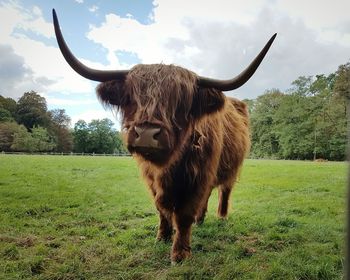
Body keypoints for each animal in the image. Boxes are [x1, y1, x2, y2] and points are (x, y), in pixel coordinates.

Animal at [52, 8, 276, 262]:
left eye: (180, 102)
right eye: (131, 97)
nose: (146, 134)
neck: (169, 168)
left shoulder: (198, 176)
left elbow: (184, 214)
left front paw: (180, 253)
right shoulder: (152, 179)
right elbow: (161, 209)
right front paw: (162, 236)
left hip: (231, 168)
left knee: (224, 191)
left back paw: (221, 217)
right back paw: (201, 219)